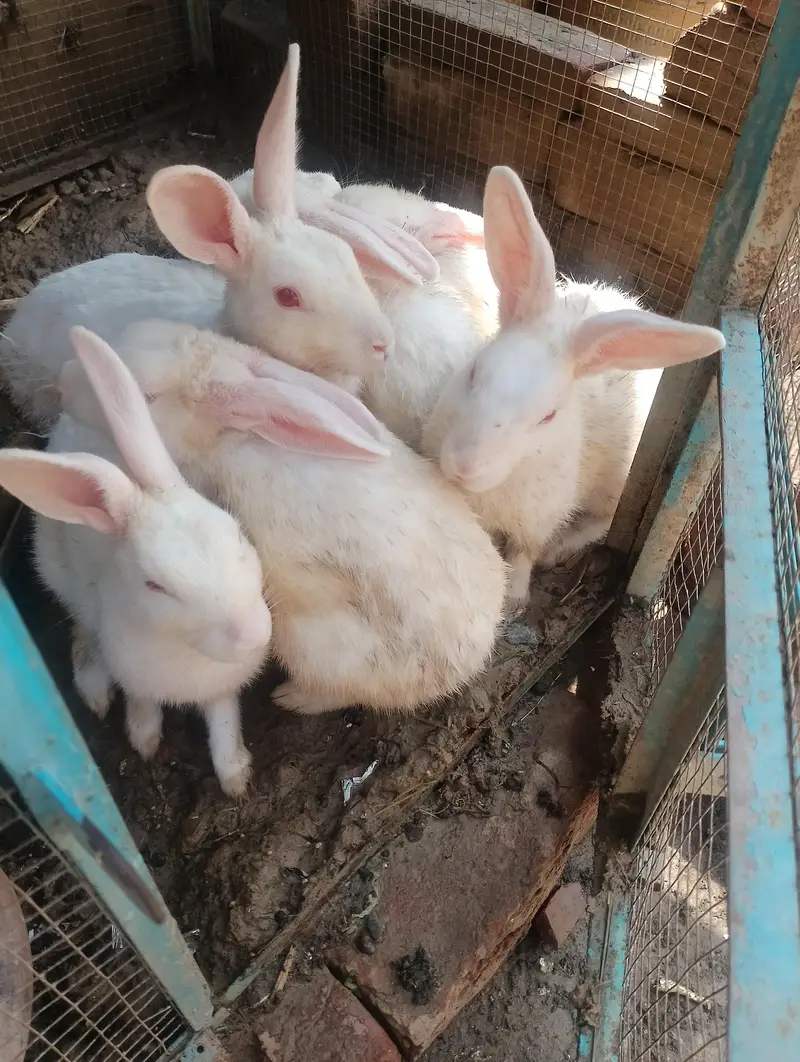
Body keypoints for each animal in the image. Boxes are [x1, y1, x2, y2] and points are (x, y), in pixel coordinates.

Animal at [0, 326, 272, 796]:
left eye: (237, 533)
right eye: (155, 585)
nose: (255, 634)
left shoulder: (223, 688)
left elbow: (223, 722)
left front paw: (235, 777)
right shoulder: (136, 676)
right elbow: (143, 704)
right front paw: (144, 742)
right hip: (61, 577)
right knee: (82, 628)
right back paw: (94, 690)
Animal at [422, 166, 726, 608]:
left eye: (547, 416)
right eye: (475, 372)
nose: (465, 465)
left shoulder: (539, 517)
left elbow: (525, 553)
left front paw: (516, 596)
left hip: (615, 486)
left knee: (607, 521)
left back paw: (562, 547)